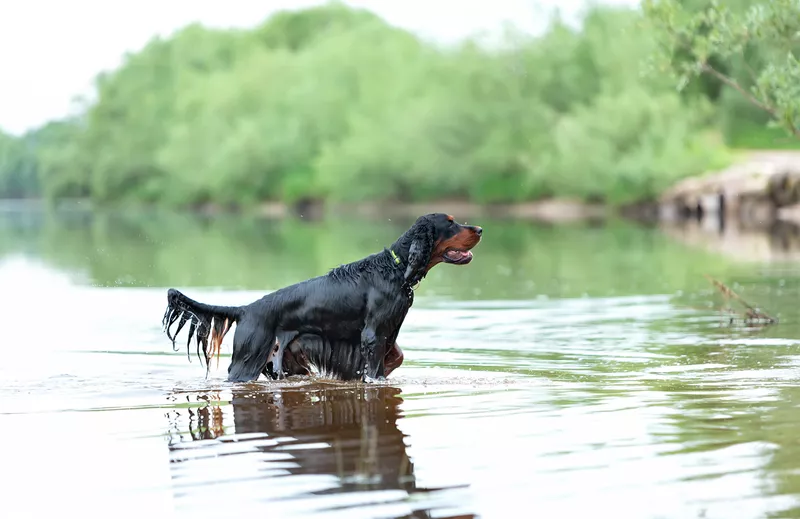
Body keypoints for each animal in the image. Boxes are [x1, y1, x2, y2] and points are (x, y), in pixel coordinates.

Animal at [162, 213, 482, 384]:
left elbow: (395, 356)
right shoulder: (373, 334)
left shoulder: (383, 334)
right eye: (450, 223)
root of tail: (246, 309)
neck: (395, 268)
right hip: (248, 358)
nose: (479, 228)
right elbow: (376, 367)